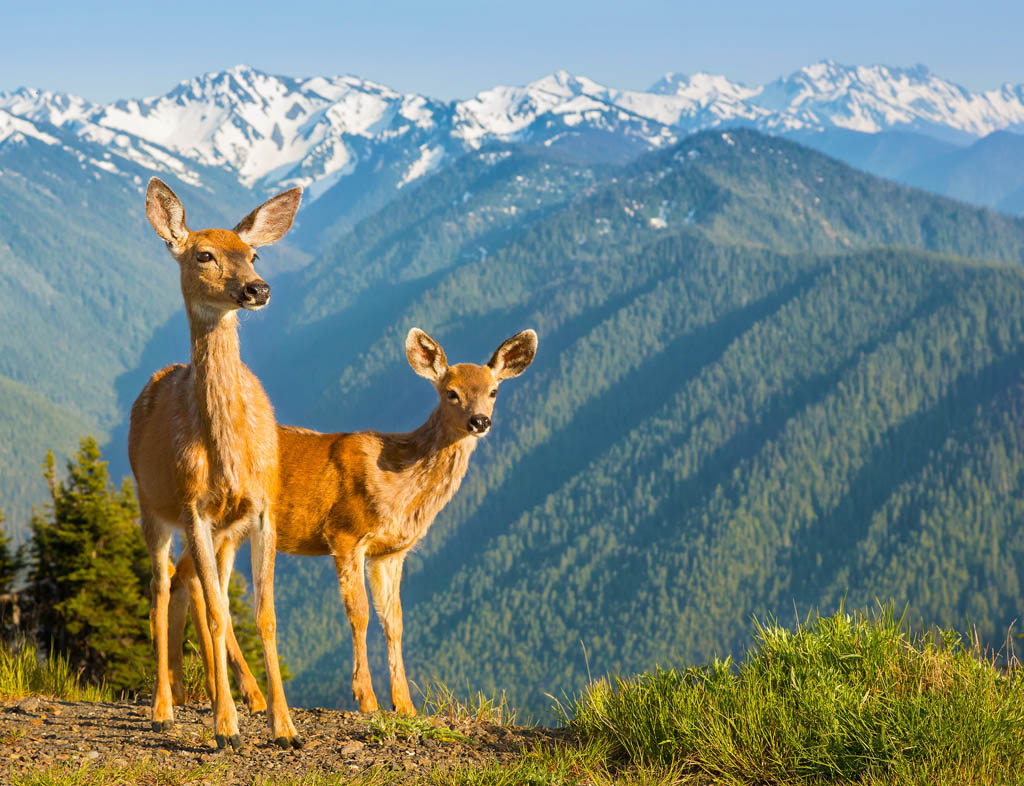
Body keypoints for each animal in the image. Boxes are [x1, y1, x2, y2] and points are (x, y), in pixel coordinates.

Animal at [130, 178, 301, 749]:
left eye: (253, 253)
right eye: (203, 254)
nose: (257, 289)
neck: (228, 452)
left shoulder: (262, 509)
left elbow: (263, 615)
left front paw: (284, 726)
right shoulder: (193, 508)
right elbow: (219, 616)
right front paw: (226, 728)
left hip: (223, 531)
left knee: (196, 588)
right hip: (152, 507)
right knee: (163, 588)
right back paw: (165, 707)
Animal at [166, 327, 536, 716]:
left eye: (493, 391)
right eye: (451, 392)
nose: (480, 421)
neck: (396, 480)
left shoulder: (391, 552)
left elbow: (395, 620)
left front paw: (404, 704)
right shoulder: (345, 533)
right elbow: (360, 613)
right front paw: (366, 698)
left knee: (189, 578)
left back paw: (196, 690)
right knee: (195, 581)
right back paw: (236, 693)